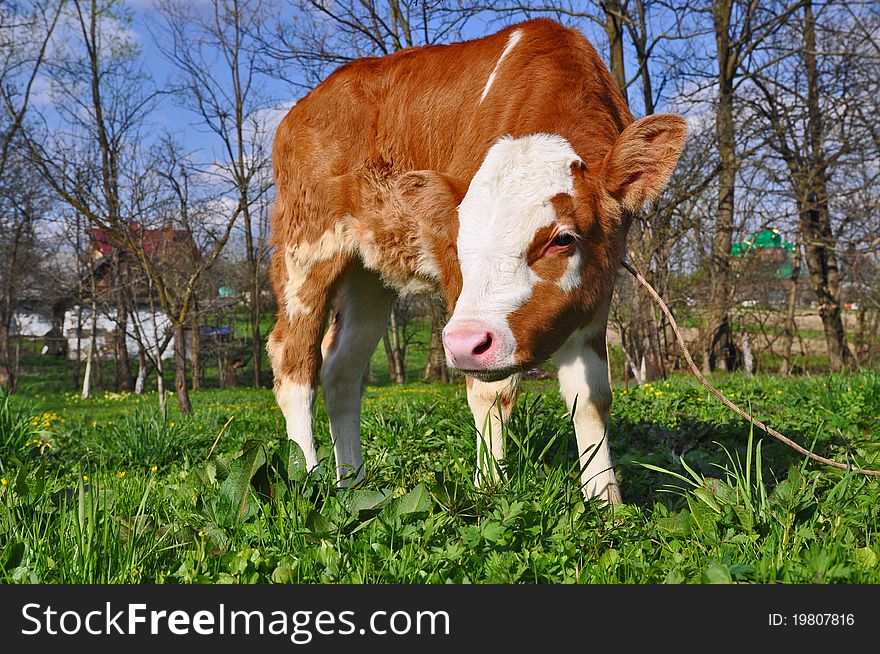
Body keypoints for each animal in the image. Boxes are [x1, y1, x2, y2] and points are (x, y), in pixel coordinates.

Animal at [268, 19, 688, 502]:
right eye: (458, 240)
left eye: (562, 239)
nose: (465, 342)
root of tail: (304, 106)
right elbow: (492, 391)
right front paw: (490, 489)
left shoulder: (597, 288)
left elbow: (592, 395)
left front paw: (605, 500)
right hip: (305, 251)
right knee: (294, 363)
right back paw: (308, 479)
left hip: (369, 275)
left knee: (342, 368)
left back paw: (353, 484)